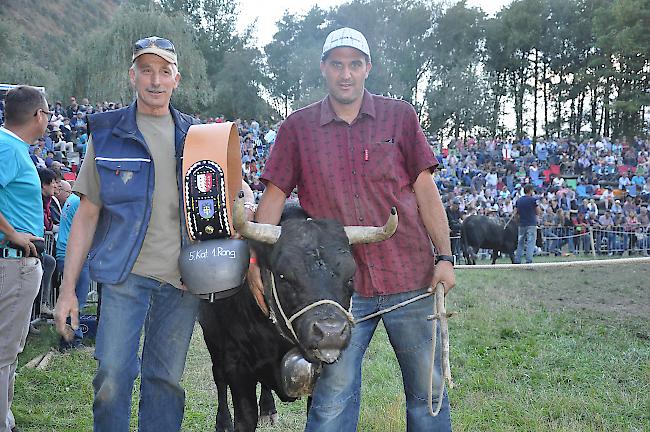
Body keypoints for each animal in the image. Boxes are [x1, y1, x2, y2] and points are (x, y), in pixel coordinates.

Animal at [200, 197, 398, 430]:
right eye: (284, 276)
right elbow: (244, 416)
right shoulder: (236, 366)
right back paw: (223, 421)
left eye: (351, 277)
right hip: (211, 336)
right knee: (218, 376)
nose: (330, 333)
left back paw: (268, 409)